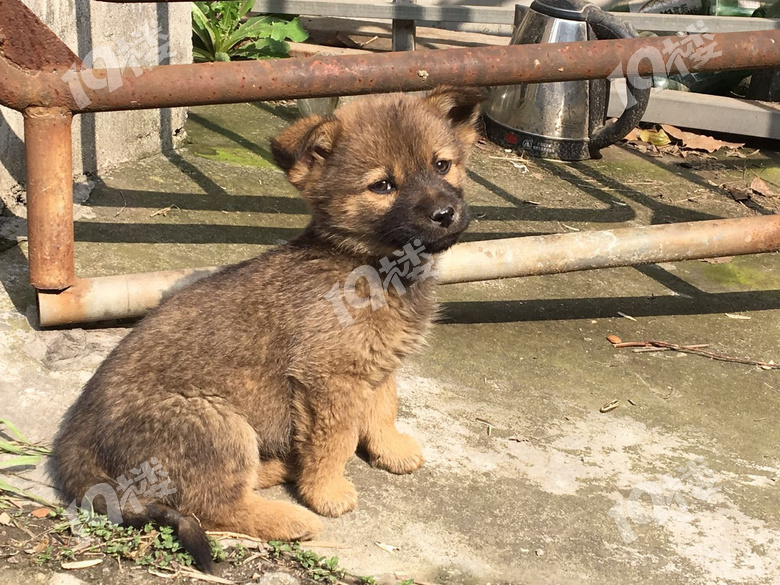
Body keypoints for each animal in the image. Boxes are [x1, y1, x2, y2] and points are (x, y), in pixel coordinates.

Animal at [50, 88, 482, 572]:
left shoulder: (376, 364)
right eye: (383, 186)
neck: (369, 264)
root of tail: (77, 437)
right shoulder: (327, 379)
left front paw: (390, 449)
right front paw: (327, 493)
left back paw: (277, 467)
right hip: (215, 423)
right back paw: (289, 517)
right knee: (213, 503)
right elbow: (335, 440)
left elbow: (384, 408)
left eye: (442, 165)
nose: (446, 213)